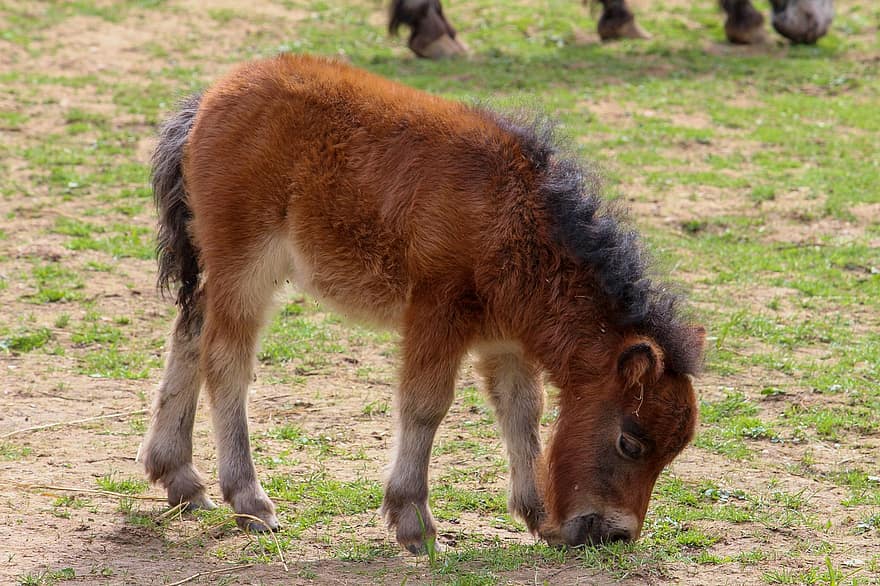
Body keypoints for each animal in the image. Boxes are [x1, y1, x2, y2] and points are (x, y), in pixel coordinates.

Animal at [143, 52, 708, 548]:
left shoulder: (504, 340)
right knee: (225, 362)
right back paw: (251, 503)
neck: (513, 215)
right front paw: (413, 521)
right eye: (630, 440)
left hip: (228, 274)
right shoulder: (437, 317)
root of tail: (209, 100)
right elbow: (425, 405)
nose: (614, 534)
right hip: (247, 271)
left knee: (190, 333)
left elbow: (523, 410)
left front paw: (537, 517)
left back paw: (181, 481)